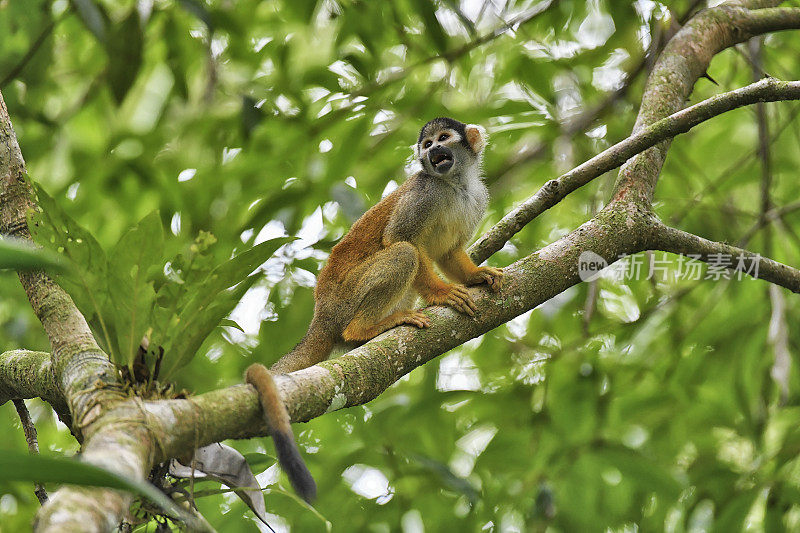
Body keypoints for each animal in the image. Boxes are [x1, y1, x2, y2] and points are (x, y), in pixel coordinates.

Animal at [247, 117, 504, 502]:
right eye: (426, 144)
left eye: (442, 139)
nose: (432, 151)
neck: (454, 184)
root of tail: (320, 316)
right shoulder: (423, 193)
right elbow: (401, 239)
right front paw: (443, 293)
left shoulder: (477, 198)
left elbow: (448, 252)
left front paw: (475, 275)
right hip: (346, 297)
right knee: (404, 254)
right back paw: (363, 330)